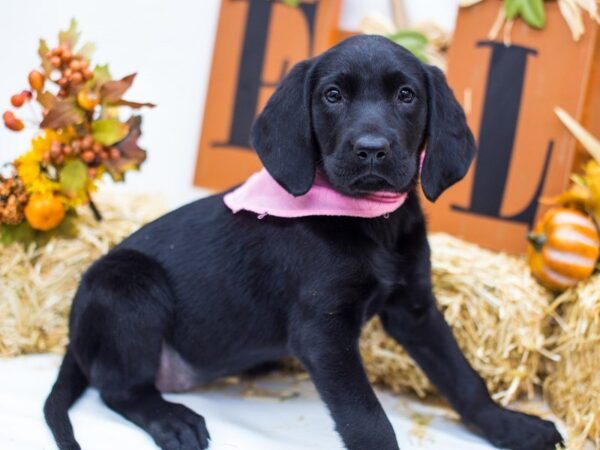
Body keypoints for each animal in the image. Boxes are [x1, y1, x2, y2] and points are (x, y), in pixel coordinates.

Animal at [45, 36, 564, 450]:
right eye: (332, 95)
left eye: (406, 95)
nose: (371, 149)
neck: (369, 222)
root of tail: (74, 333)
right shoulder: (322, 331)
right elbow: (368, 420)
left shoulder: (415, 308)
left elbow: (463, 378)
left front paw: (511, 426)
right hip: (127, 284)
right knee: (119, 388)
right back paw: (171, 419)